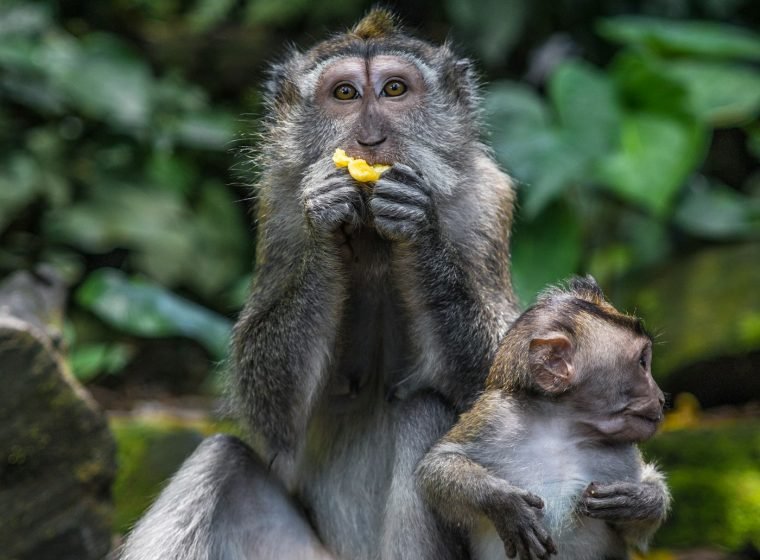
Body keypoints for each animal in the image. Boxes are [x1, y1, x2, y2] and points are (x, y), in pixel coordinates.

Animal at [119, 9, 521, 559]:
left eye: (395, 89)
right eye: (345, 94)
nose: (370, 141)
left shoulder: (486, 204)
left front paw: (420, 228)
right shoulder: (280, 209)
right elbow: (273, 415)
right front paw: (327, 221)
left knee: (422, 412)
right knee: (221, 458)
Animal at [416, 276, 671, 560]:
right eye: (642, 362)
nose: (661, 397)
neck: (562, 428)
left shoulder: (621, 455)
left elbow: (633, 530)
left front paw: (643, 500)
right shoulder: (496, 418)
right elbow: (436, 467)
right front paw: (505, 504)